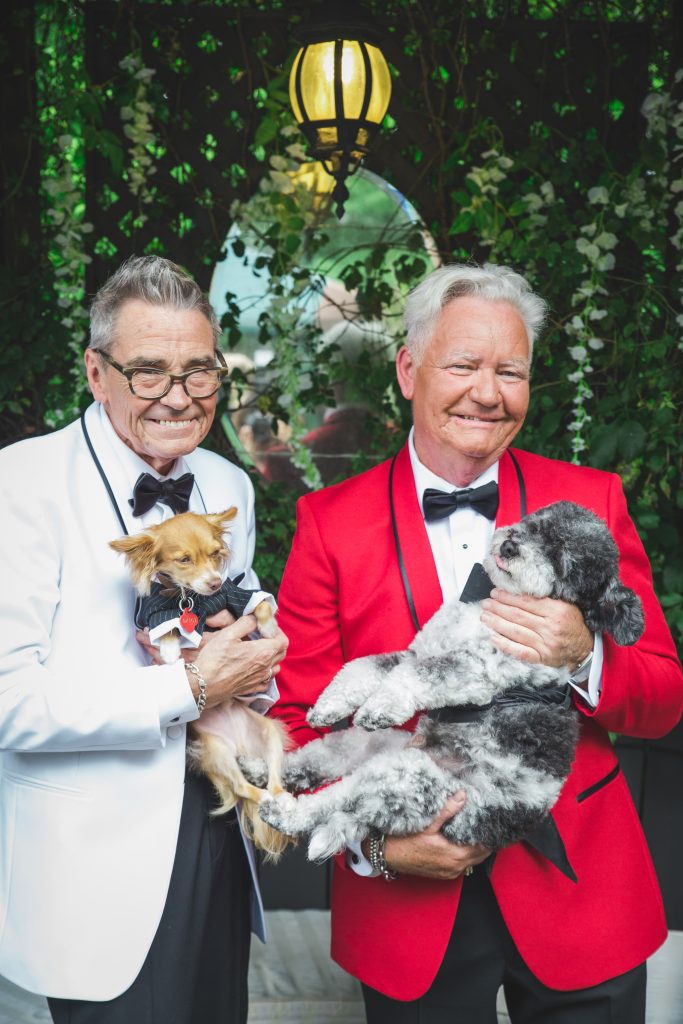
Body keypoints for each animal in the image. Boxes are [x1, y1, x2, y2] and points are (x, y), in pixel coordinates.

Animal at [111, 507, 290, 860]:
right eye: (184, 560)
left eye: (215, 553)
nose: (215, 581)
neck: (192, 599)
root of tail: (240, 745)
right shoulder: (156, 613)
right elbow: (168, 628)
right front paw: (169, 649)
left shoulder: (237, 594)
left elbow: (260, 602)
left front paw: (268, 627)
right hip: (217, 753)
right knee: (242, 787)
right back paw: (265, 797)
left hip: (269, 734)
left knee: (274, 779)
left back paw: (281, 798)